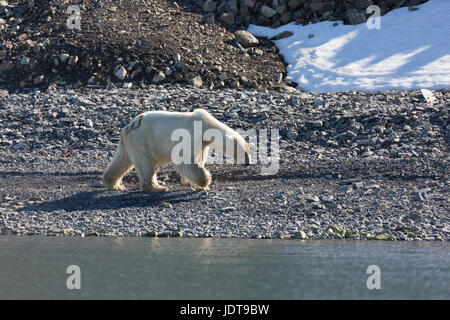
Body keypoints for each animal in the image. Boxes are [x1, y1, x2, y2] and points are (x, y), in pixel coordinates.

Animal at [102, 109, 251, 191]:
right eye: (245, 153)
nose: (248, 163)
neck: (207, 125)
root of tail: (129, 126)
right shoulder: (193, 134)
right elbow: (182, 156)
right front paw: (206, 180)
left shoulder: (202, 143)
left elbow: (199, 158)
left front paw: (190, 182)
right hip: (142, 141)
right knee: (146, 165)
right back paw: (157, 188)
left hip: (130, 143)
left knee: (122, 161)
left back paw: (114, 184)